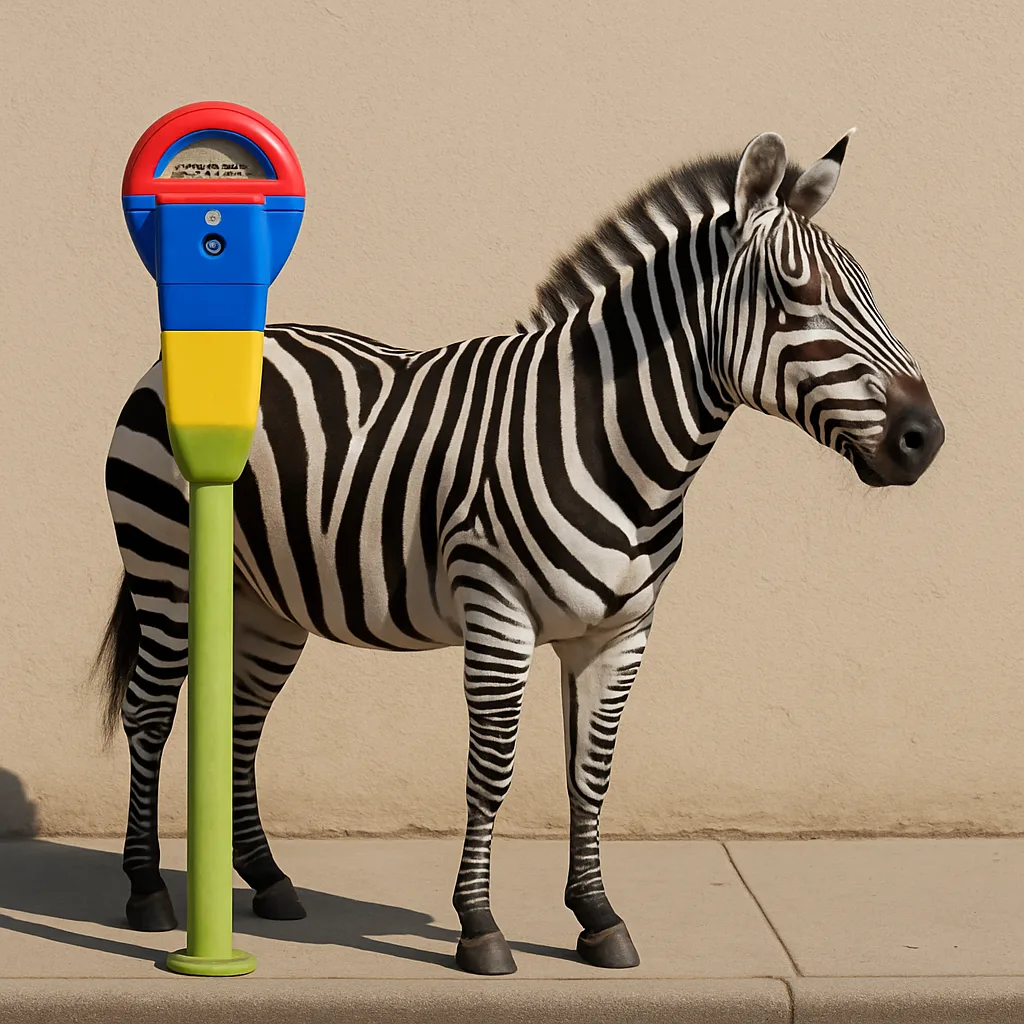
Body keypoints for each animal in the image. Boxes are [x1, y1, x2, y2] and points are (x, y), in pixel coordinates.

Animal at [96, 130, 944, 975]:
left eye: (867, 290)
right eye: (798, 297)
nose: (926, 438)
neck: (616, 446)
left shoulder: (620, 632)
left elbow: (591, 774)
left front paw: (598, 917)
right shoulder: (498, 613)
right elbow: (492, 771)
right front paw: (479, 926)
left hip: (269, 598)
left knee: (243, 718)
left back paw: (269, 879)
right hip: (166, 562)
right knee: (150, 711)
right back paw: (146, 891)